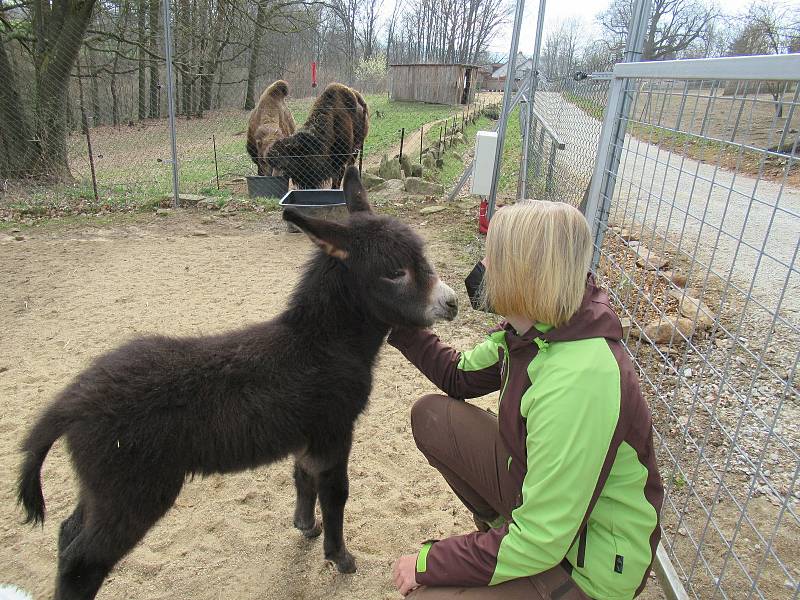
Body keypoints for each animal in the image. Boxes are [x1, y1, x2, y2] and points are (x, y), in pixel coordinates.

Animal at [17, 166, 456, 600]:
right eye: (395, 272)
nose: (451, 303)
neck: (320, 344)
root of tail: (72, 401)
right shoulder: (334, 431)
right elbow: (335, 493)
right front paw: (340, 557)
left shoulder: (308, 435)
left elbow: (303, 479)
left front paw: (305, 527)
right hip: (133, 493)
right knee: (82, 562)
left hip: (99, 489)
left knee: (68, 534)